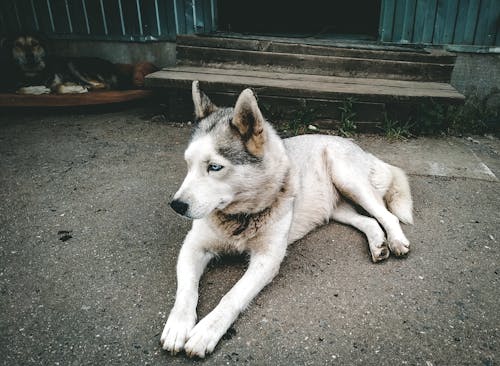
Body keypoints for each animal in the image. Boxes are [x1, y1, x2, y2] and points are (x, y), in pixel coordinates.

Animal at [0, 33, 156, 94]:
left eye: (35, 44)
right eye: (18, 45)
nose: (29, 56)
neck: (32, 73)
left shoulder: (57, 80)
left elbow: (57, 87)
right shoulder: (8, 86)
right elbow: (20, 89)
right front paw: (37, 89)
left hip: (73, 65)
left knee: (100, 84)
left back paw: (84, 86)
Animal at [161, 82, 414, 358]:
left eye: (215, 167)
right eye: (188, 164)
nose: (176, 205)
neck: (242, 217)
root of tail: (356, 145)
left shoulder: (267, 259)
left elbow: (232, 296)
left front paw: (206, 331)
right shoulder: (193, 248)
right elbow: (186, 291)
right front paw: (178, 326)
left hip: (349, 181)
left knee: (387, 215)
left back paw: (396, 241)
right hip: (336, 208)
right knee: (369, 222)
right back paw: (378, 244)